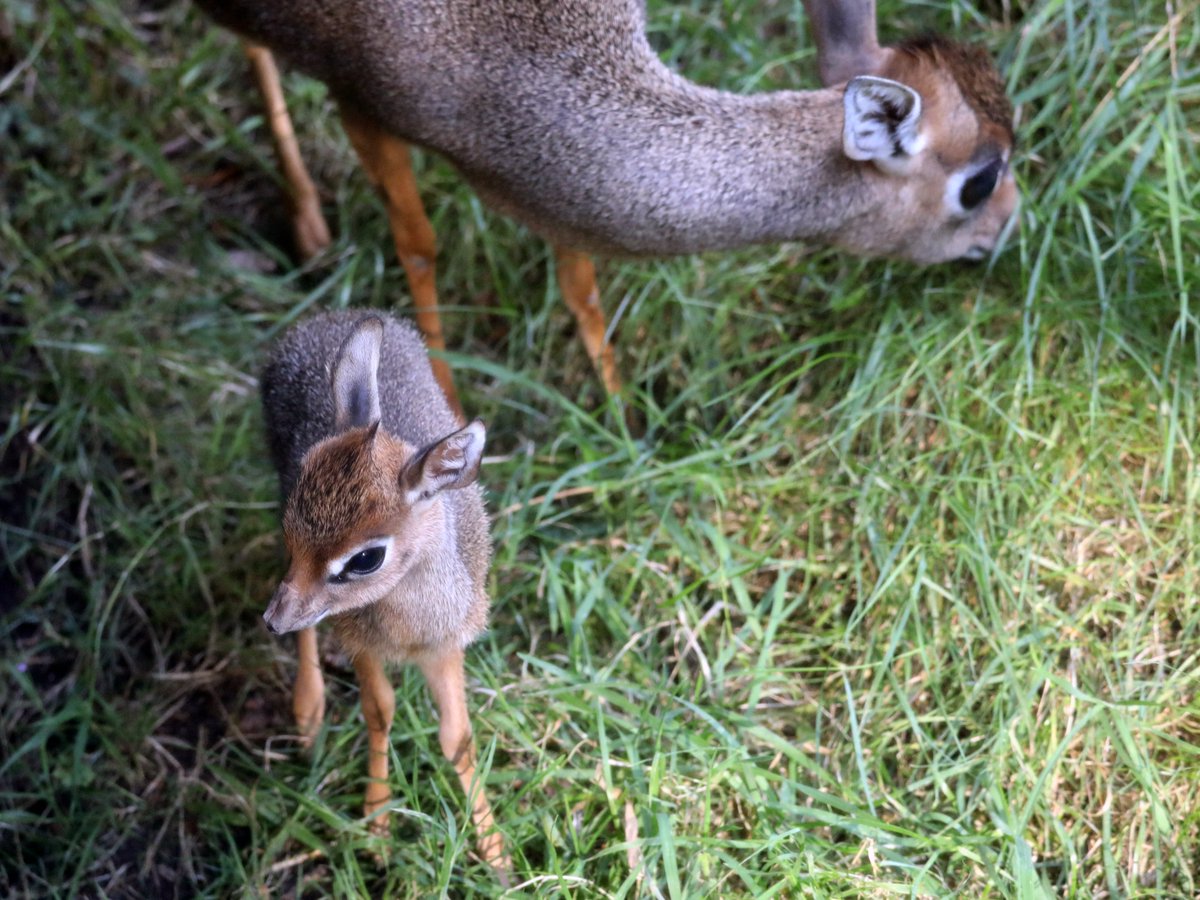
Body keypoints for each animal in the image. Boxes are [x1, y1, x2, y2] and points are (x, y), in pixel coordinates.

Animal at [201, 0, 1018, 413]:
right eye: (979, 179)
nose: (1008, 226)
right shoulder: (359, 98)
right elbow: (419, 243)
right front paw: (448, 412)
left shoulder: (553, 191)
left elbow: (580, 283)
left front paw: (625, 415)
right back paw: (307, 224)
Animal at [259, 311, 509, 876]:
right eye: (294, 523)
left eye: (365, 557)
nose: (272, 619)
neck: (409, 630)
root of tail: (327, 317)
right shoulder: (362, 644)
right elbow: (379, 713)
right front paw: (376, 826)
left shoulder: (447, 647)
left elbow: (457, 737)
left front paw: (495, 849)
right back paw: (307, 711)